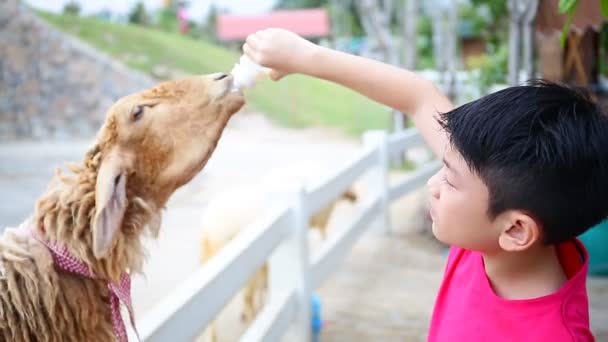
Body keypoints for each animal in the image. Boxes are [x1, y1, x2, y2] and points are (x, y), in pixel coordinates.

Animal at [198, 162, 356, 340]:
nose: (354, 197)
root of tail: (211, 226)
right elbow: (260, 287)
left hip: (208, 259)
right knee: (247, 296)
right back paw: (252, 318)